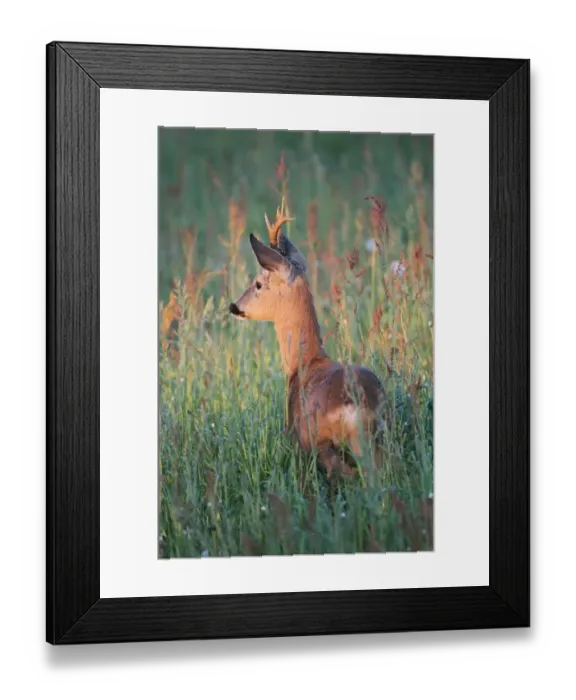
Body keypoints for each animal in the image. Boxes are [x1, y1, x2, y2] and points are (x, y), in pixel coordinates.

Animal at [229, 197, 389, 483]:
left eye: (258, 283)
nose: (234, 306)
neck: (304, 362)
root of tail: (359, 401)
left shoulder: (298, 440)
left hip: (324, 443)